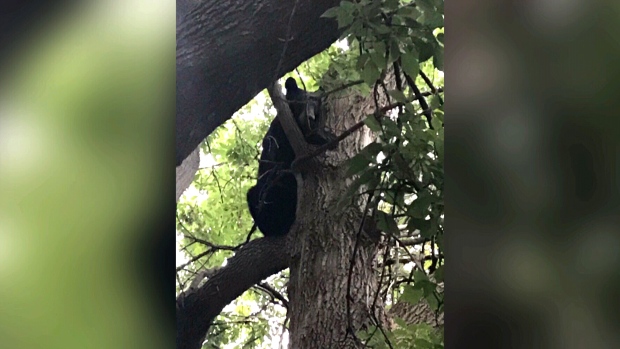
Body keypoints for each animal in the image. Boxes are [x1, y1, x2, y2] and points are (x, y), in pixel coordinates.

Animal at [248, 78, 332, 238]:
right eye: (302, 101)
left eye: (317, 110)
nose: (310, 118)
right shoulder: (276, 135)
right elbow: (278, 154)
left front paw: (327, 136)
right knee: (253, 194)